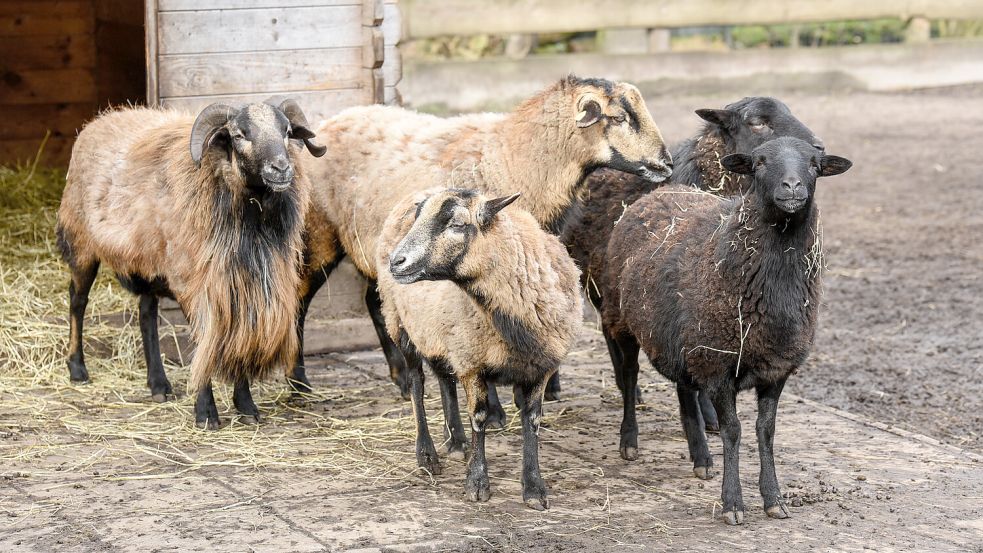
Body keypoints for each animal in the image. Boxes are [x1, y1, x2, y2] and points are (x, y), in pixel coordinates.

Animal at [56, 100, 326, 426]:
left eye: (286, 131)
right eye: (239, 135)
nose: (281, 168)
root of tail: (98, 121)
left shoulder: (242, 287)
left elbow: (239, 341)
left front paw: (246, 406)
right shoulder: (195, 285)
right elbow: (202, 342)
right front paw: (206, 413)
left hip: (151, 260)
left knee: (146, 313)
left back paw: (159, 385)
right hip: (82, 243)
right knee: (77, 301)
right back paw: (77, 369)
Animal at [600, 137, 852, 520]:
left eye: (814, 164)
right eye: (759, 162)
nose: (792, 187)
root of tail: (661, 192)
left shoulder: (774, 370)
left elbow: (766, 431)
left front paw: (774, 498)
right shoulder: (719, 366)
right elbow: (733, 431)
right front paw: (733, 503)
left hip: (686, 340)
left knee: (684, 390)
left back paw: (701, 458)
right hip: (623, 320)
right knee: (629, 377)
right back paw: (629, 441)